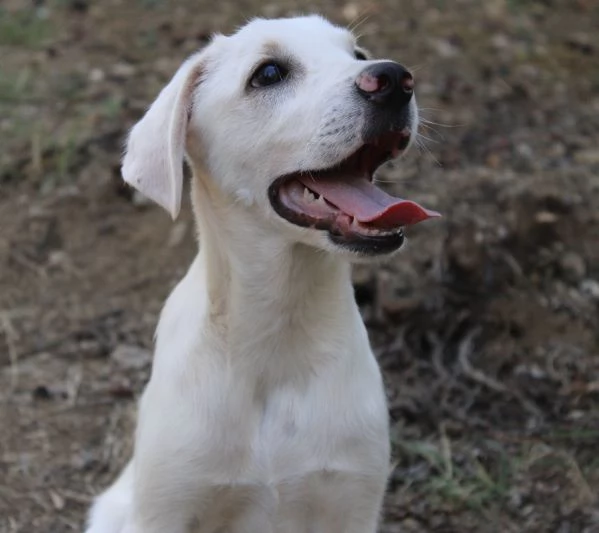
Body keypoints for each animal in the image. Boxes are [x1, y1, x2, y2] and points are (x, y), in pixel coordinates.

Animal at [84, 15, 438, 532]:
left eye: (357, 54)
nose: (394, 78)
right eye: (268, 74)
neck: (279, 338)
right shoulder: (167, 507)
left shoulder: (351, 499)